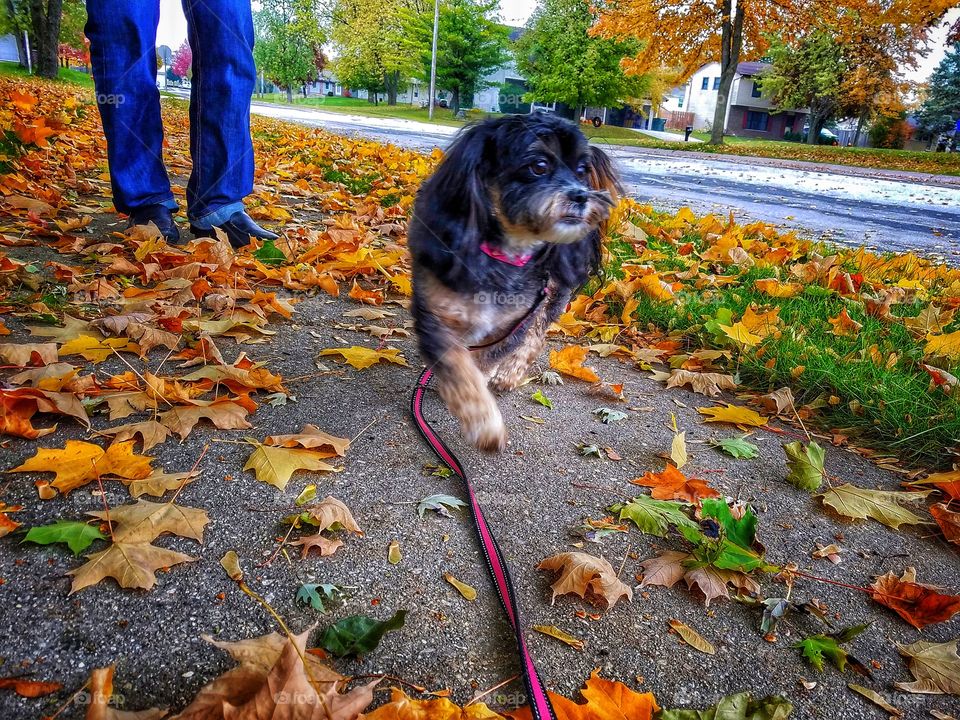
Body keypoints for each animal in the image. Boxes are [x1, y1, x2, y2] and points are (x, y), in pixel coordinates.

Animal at [406, 112, 620, 450]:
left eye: (581, 170)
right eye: (539, 166)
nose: (581, 194)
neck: (505, 254)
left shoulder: (514, 322)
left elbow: (484, 361)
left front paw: (482, 414)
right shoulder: (434, 317)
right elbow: (458, 365)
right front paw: (482, 420)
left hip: (550, 297)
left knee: (535, 338)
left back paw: (509, 374)